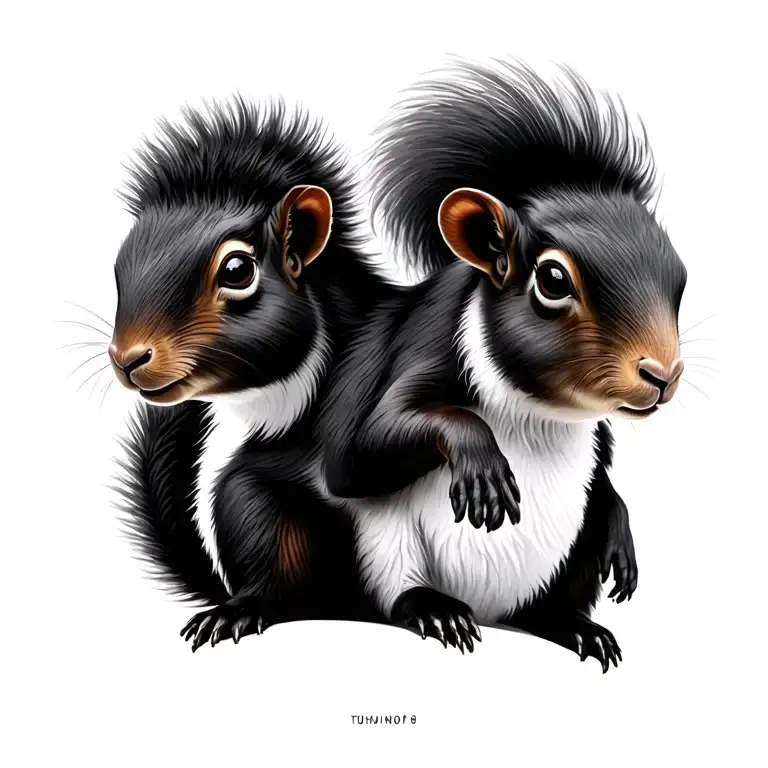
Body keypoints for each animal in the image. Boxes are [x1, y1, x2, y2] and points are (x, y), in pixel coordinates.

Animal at [110, 97, 391, 650]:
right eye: (118, 267)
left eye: (237, 270)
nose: (126, 357)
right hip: (251, 503)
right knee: (276, 584)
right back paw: (238, 609)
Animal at [316, 58, 686, 672]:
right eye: (553, 280)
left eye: (679, 272)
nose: (663, 374)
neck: (542, 407)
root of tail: (492, 612)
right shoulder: (421, 349)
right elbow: (358, 453)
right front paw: (481, 461)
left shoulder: (599, 432)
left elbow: (607, 478)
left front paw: (622, 529)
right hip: (387, 549)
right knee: (400, 589)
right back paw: (435, 610)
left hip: (565, 563)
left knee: (548, 602)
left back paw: (574, 625)